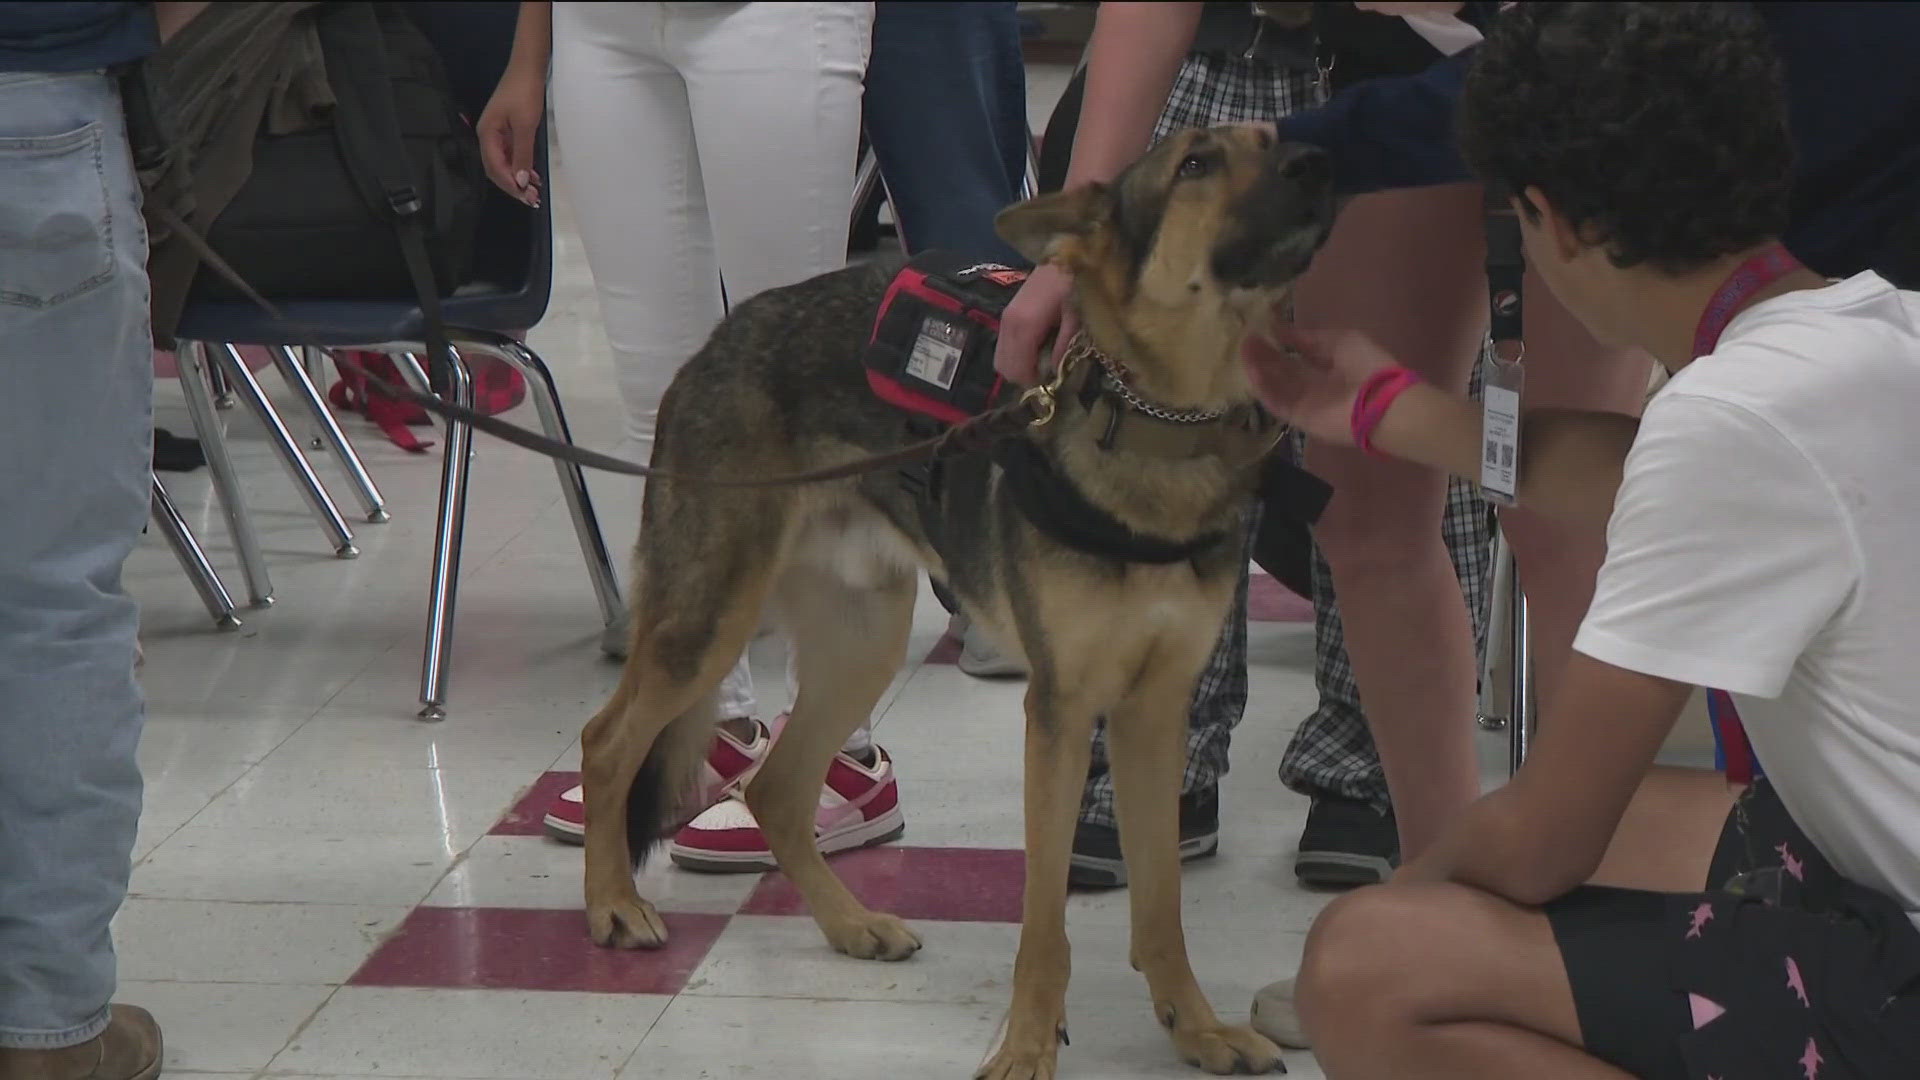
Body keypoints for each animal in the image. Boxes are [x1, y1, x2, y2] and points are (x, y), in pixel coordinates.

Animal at [579, 122, 1336, 1068]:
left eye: (1273, 138)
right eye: (1195, 162)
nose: (1319, 162)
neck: (1161, 422)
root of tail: (716, 340)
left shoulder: (1152, 714)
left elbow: (1162, 904)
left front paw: (1194, 1027)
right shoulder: (1060, 716)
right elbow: (1044, 925)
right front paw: (1027, 1049)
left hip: (860, 641)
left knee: (775, 791)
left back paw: (850, 925)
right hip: (707, 623)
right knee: (608, 742)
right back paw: (612, 903)